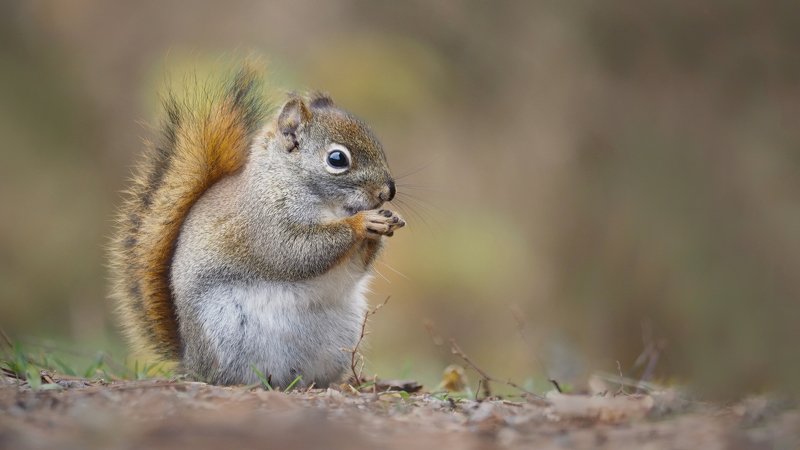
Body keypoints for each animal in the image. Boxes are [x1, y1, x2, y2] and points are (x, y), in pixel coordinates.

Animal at [109, 65, 405, 388]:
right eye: (337, 159)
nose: (387, 192)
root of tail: (191, 361)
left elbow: (355, 266)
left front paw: (386, 222)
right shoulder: (265, 223)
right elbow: (298, 251)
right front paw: (363, 221)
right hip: (227, 333)